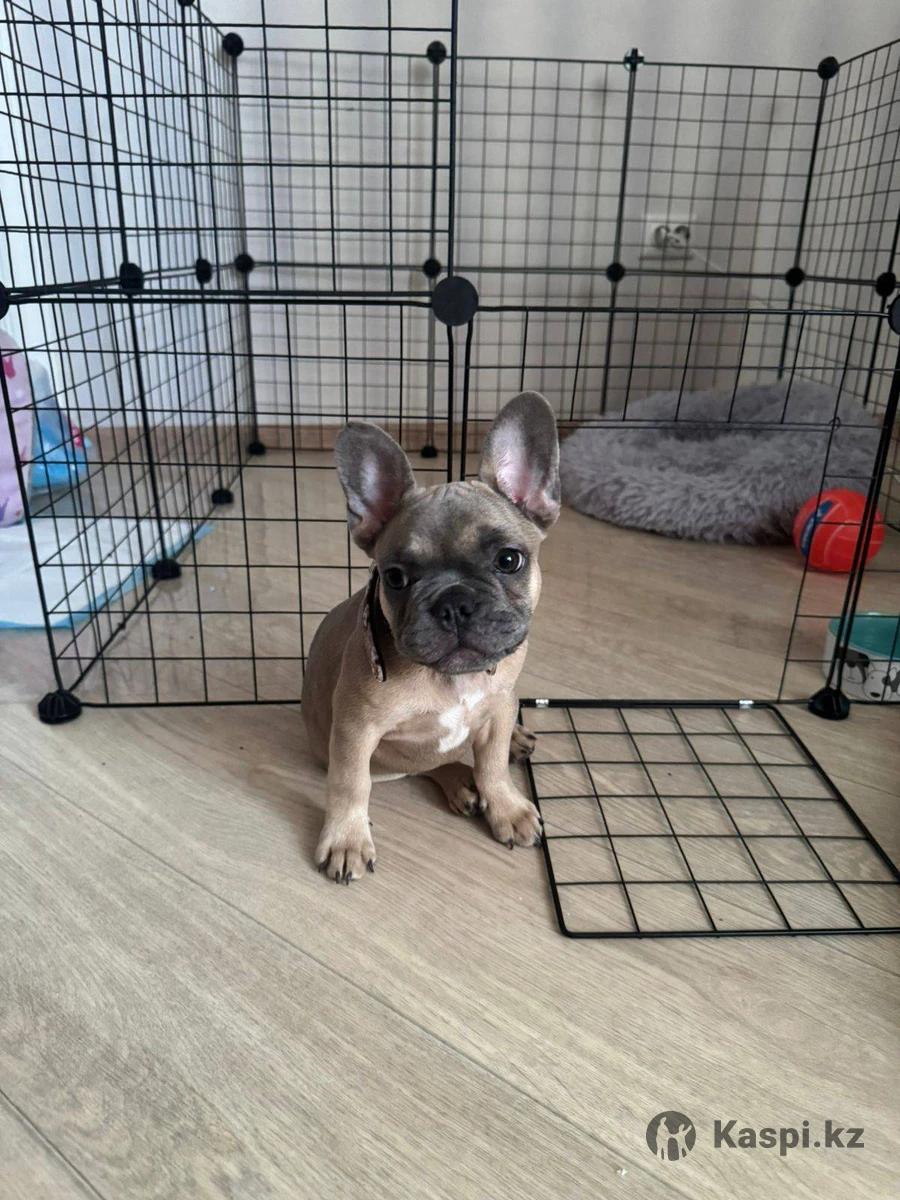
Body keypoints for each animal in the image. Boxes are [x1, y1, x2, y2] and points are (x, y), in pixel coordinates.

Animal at [301, 391, 560, 882]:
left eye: (509, 560)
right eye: (395, 578)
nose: (454, 602)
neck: (450, 680)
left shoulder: (500, 704)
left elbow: (493, 764)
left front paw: (506, 806)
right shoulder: (355, 732)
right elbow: (350, 784)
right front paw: (346, 839)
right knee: (419, 765)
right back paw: (459, 782)